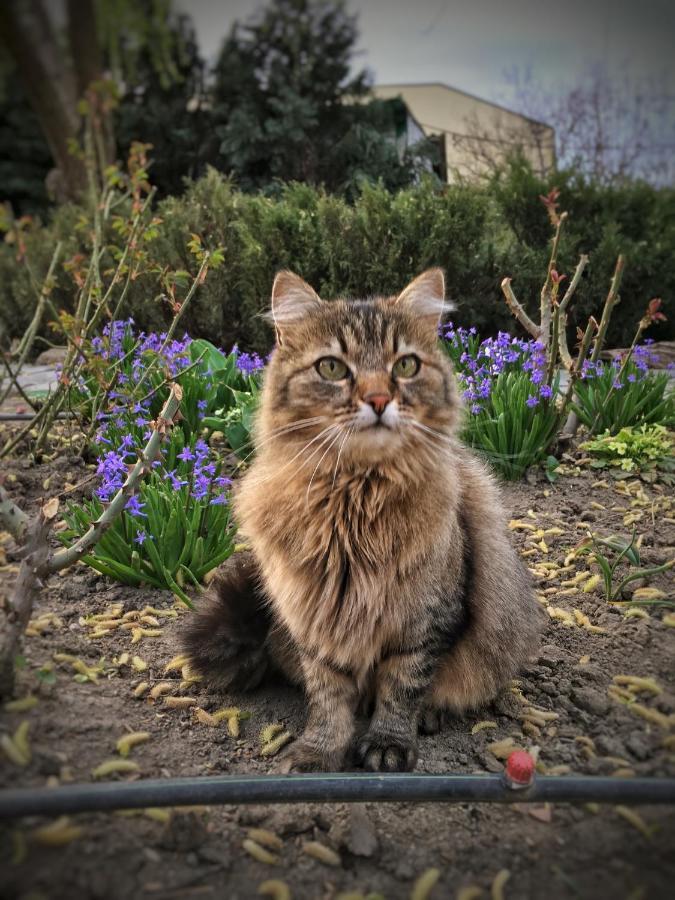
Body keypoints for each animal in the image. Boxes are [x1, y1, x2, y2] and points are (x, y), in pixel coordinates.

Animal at [181, 268, 544, 772]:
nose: (377, 399)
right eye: (332, 368)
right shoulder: (314, 619)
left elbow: (403, 687)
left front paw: (389, 743)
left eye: (405, 366)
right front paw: (319, 751)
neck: (356, 501)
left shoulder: (426, 620)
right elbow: (328, 697)